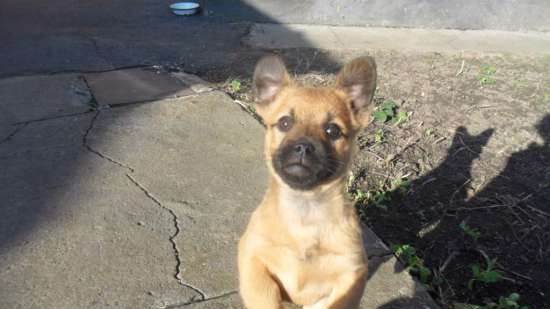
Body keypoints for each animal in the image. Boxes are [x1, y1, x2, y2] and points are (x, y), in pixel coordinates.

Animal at [239, 55, 378, 308]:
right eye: (285, 123)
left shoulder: (350, 274)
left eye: (333, 130)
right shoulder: (253, 257)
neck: (305, 210)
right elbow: (265, 296)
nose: (303, 146)